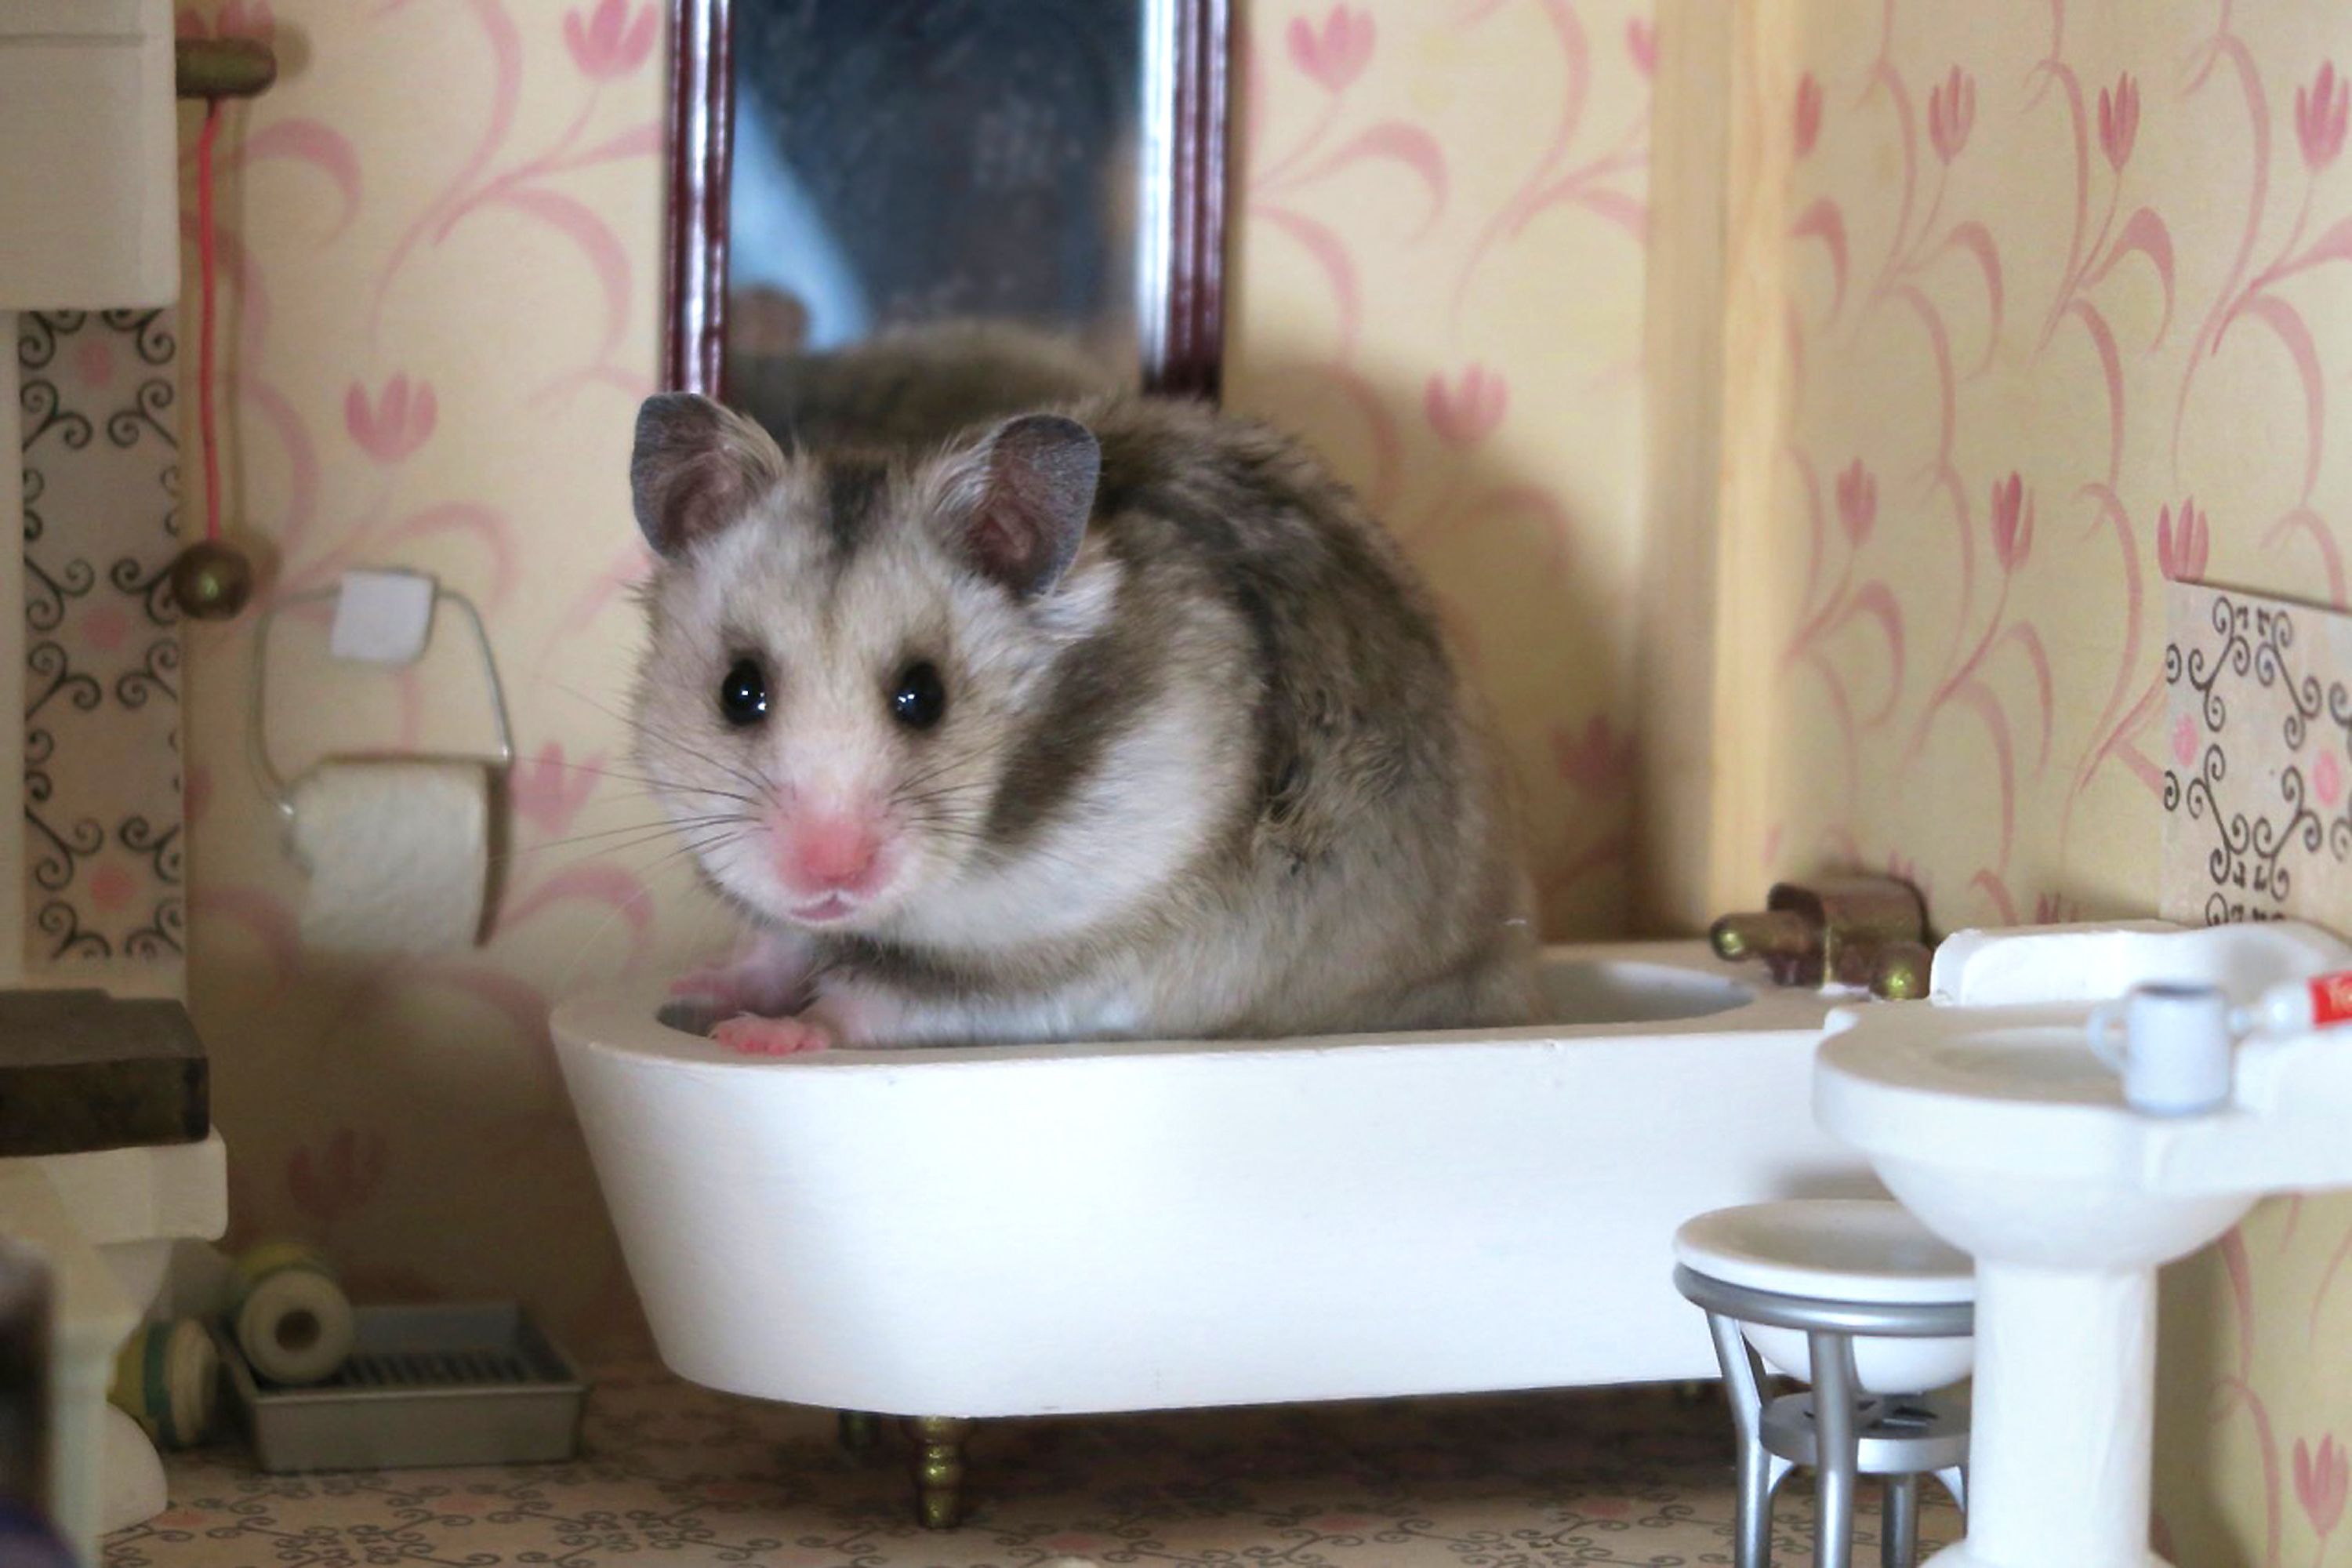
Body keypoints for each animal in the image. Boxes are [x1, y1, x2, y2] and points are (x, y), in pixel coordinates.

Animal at [630, 390, 1543, 1053]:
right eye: (739, 691)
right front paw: (695, 990)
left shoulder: (1074, 964)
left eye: (924, 695)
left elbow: (877, 1003)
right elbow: (780, 945)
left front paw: (759, 1036)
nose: (828, 874)